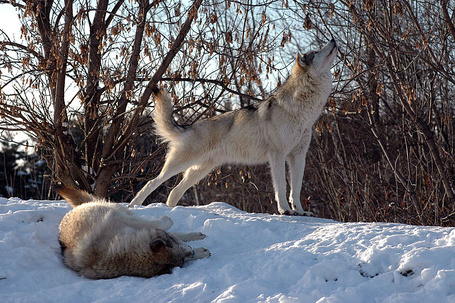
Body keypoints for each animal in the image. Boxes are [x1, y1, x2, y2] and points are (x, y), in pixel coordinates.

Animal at [56, 185, 209, 280]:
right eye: (182, 260)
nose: (192, 252)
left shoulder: (125, 220)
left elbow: (166, 227)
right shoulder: (126, 221)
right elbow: (165, 224)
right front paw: (199, 252)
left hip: (117, 211)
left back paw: (196, 235)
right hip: (117, 211)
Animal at [129, 39, 338, 216]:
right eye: (316, 51)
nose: (333, 40)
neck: (302, 111)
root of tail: (190, 126)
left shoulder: (298, 156)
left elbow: (296, 188)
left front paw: (300, 212)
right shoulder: (277, 155)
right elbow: (282, 187)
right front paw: (285, 210)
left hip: (200, 170)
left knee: (173, 192)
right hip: (181, 164)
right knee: (152, 182)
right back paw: (134, 206)